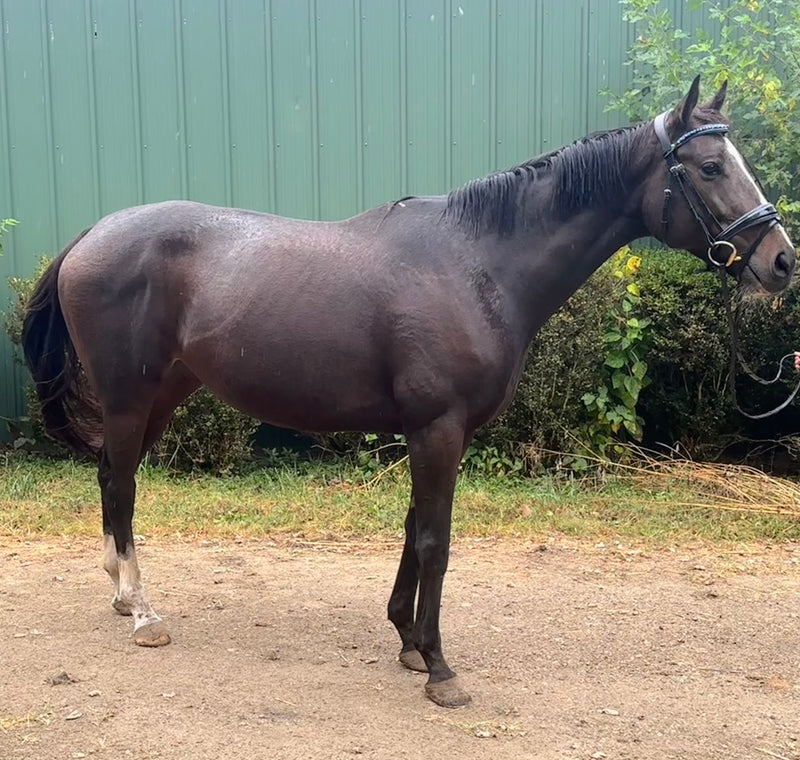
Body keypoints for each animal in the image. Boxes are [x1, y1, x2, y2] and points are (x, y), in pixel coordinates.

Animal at [21, 77, 795, 707]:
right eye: (710, 167)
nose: (781, 260)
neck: (478, 262)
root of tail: (92, 233)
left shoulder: (437, 432)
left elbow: (410, 527)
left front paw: (406, 641)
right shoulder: (438, 428)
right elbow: (435, 540)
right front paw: (440, 667)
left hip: (162, 395)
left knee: (110, 477)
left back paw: (122, 595)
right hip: (130, 397)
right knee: (122, 483)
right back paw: (143, 612)